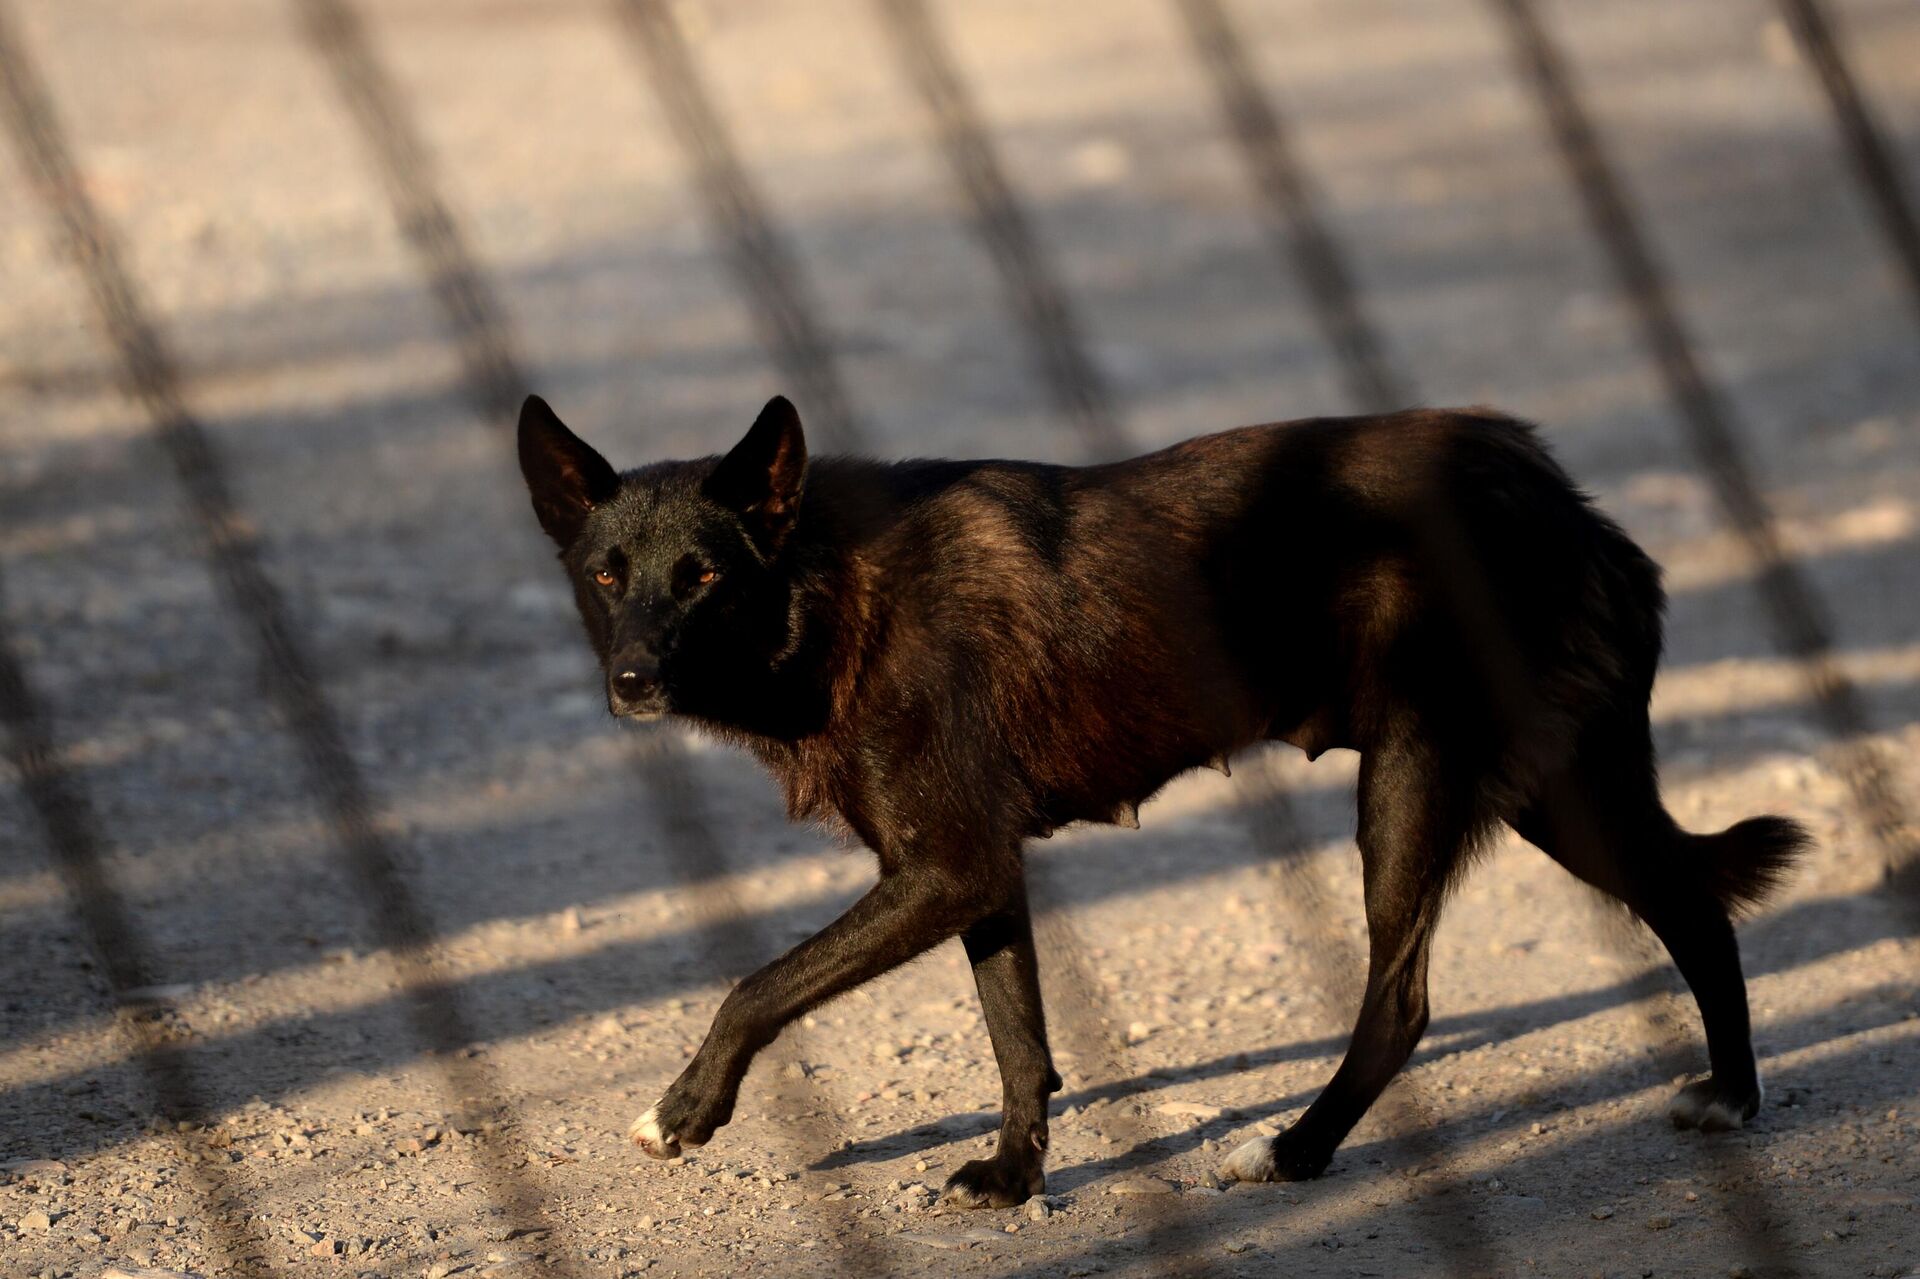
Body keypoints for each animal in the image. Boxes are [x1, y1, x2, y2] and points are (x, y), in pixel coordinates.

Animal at [518, 393, 1804, 1198]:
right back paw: (1734, 1097)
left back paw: (1294, 1152)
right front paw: (1014, 1177)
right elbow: (1017, 1036)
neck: (832, 588)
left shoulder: (944, 868)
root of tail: (1560, 495)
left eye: (705, 576)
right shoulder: (975, 874)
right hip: (1557, 791)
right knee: (1695, 909)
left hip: (1414, 781)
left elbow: (758, 985)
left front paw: (683, 1110)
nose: (631, 681)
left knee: (1403, 1000)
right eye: (608, 577)